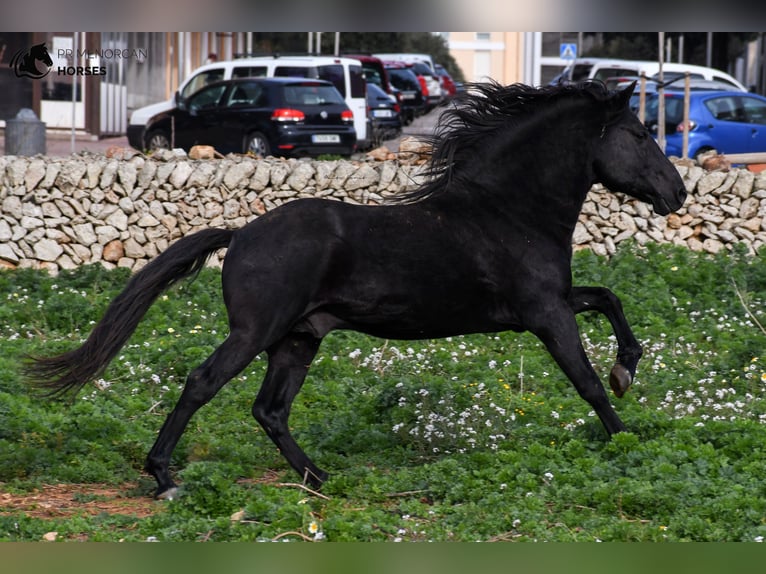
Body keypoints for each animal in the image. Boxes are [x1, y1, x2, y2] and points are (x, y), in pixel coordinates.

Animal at [28, 81, 688, 500]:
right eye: (637, 133)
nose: (677, 194)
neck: (508, 210)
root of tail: (241, 233)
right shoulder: (544, 313)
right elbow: (586, 381)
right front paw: (627, 439)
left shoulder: (550, 303)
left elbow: (610, 301)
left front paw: (628, 370)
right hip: (257, 331)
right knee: (202, 383)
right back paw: (165, 478)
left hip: (299, 338)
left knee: (269, 409)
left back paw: (321, 478)